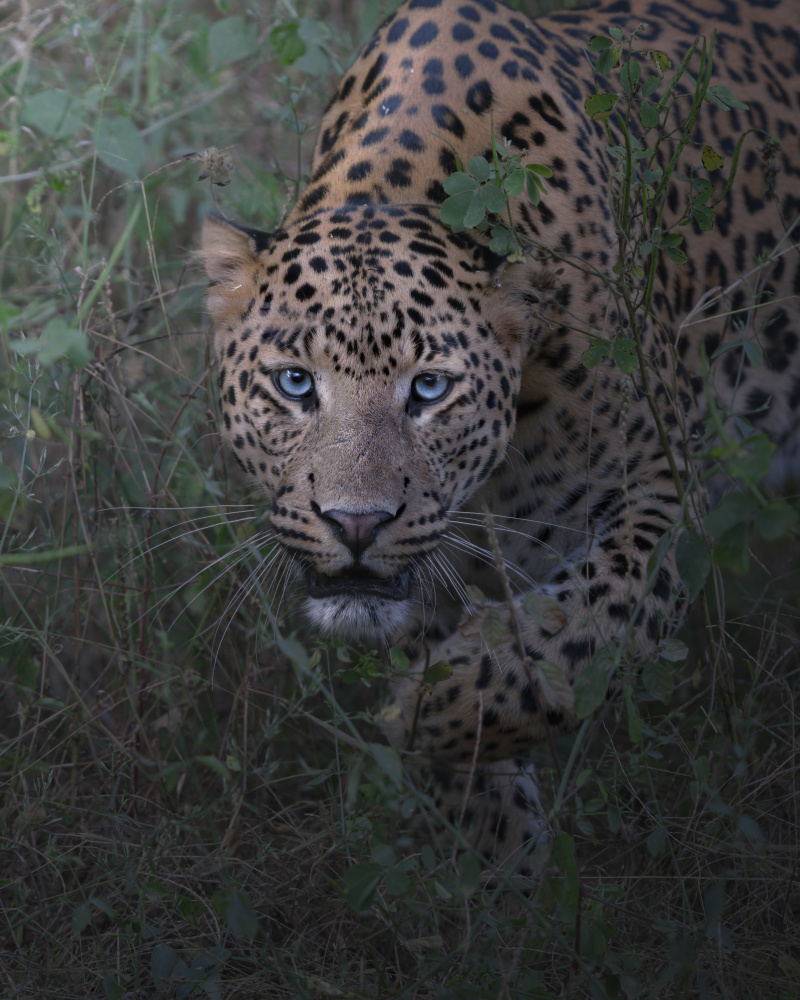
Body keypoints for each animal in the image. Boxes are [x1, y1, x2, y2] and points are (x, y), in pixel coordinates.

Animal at [201, 0, 800, 867]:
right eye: (294, 383)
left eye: (429, 388)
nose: (355, 524)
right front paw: (503, 872)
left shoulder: (659, 488)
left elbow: (594, 626)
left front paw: (437, 711)